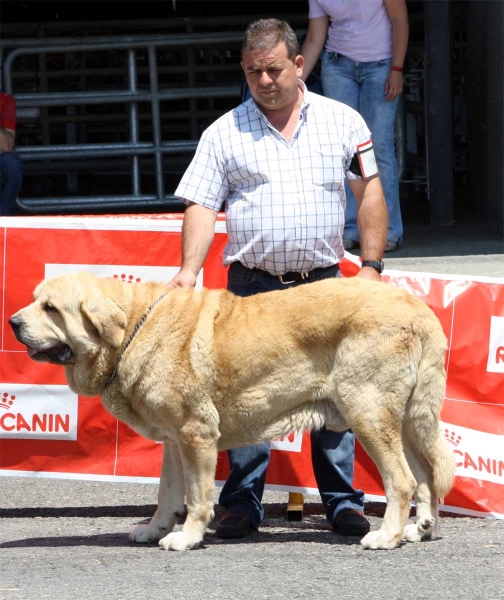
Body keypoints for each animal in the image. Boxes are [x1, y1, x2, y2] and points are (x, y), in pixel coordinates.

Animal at [8, 272, 456, 552]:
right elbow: (167, 492)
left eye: (50, 308)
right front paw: (154, 529)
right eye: (34, 301)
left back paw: (387, 536)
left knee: (401, 480)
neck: (133, 328)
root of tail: (419, 309)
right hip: (408, 421)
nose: (12, 322)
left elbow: (197, 496)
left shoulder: (196, 435)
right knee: (426, 476)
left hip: (368, 412)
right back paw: (421, 528)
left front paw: (186, 538)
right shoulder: (174, 442)